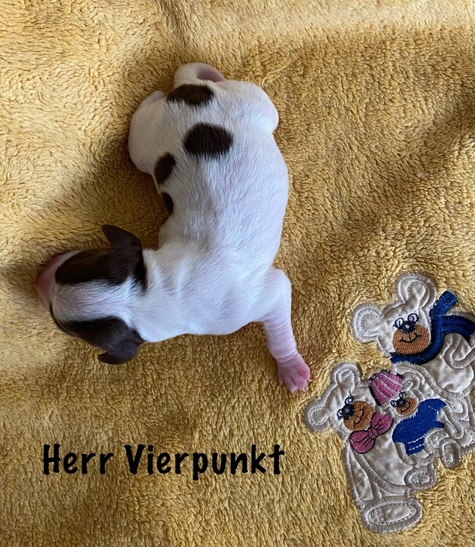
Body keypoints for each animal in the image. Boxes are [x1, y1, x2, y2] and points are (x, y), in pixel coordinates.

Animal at [36, 62, 311, 392]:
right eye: (79, 259)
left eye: (57, 322)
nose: (39, 277)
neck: (151, 291)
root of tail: (183, 93)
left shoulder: (257, 300)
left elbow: (278, 326)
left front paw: (290, 367)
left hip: (191, 122)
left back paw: (170, 88)